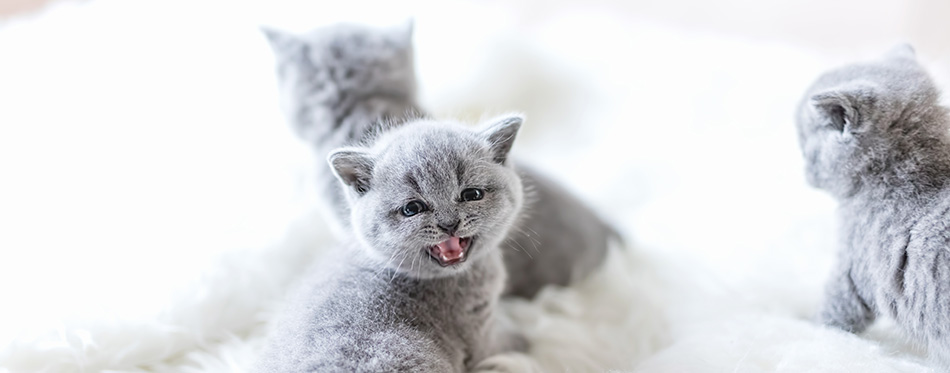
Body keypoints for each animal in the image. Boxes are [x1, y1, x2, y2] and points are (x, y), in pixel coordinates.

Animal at [255, 115, 528, 370]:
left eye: (472, 194)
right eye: (412, 209)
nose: (449, 224)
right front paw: (522, 336)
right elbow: (506, 341)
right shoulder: (478, 330)